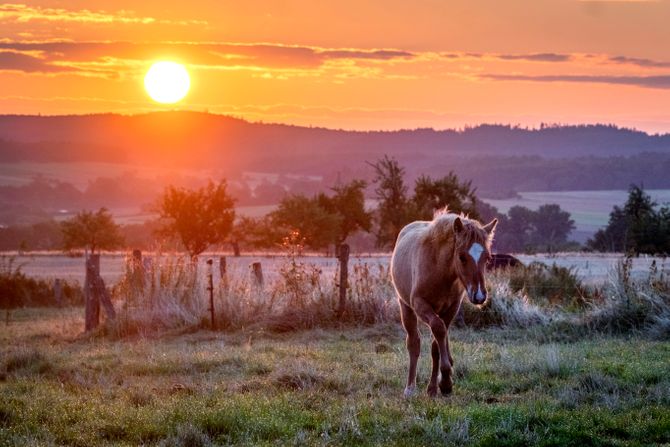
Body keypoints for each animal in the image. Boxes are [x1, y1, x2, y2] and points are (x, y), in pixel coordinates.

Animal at [392, 212, 496, 398]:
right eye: (461, 256)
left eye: (487, 258)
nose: (479, 296)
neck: (439, 270)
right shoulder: (420, 305)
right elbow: (437, 331)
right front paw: (445, 381)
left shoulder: (451, 309)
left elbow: (436, 345)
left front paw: (438, 386)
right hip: (406, 308)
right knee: (413, 343)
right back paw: (410, 388)